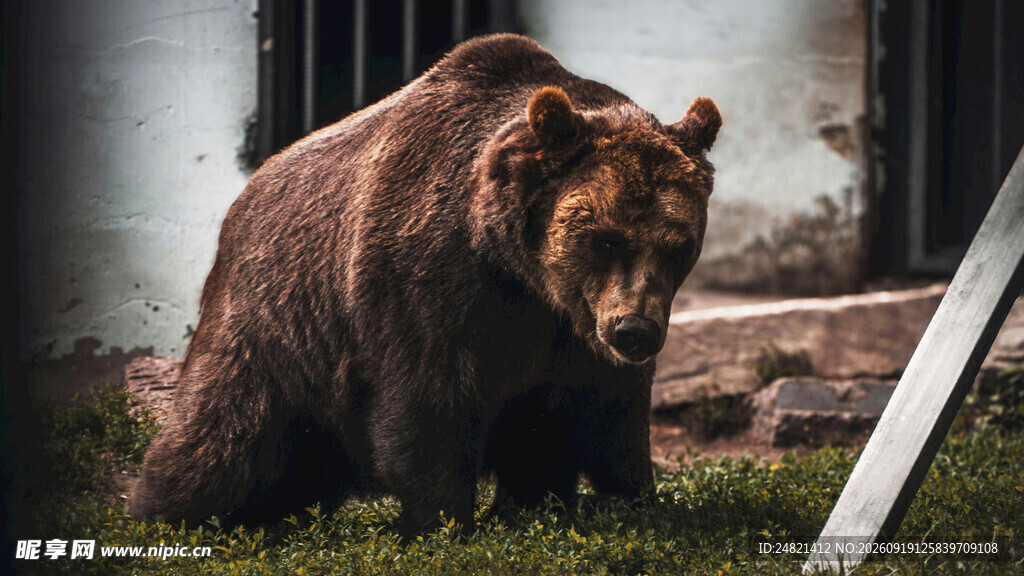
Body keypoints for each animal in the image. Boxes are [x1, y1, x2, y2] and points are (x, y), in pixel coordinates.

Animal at [131, 33, 721, 537]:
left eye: (678, 245)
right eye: (606, 239)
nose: (636, 331)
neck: (519, 268)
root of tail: (244, 197)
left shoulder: (572, 329)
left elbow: (607, 413)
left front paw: (628, 498)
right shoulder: (427, 284)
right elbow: (428, 403)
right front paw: (440, 523)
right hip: (276, 323)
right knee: (218, 440)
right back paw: (162, 514)